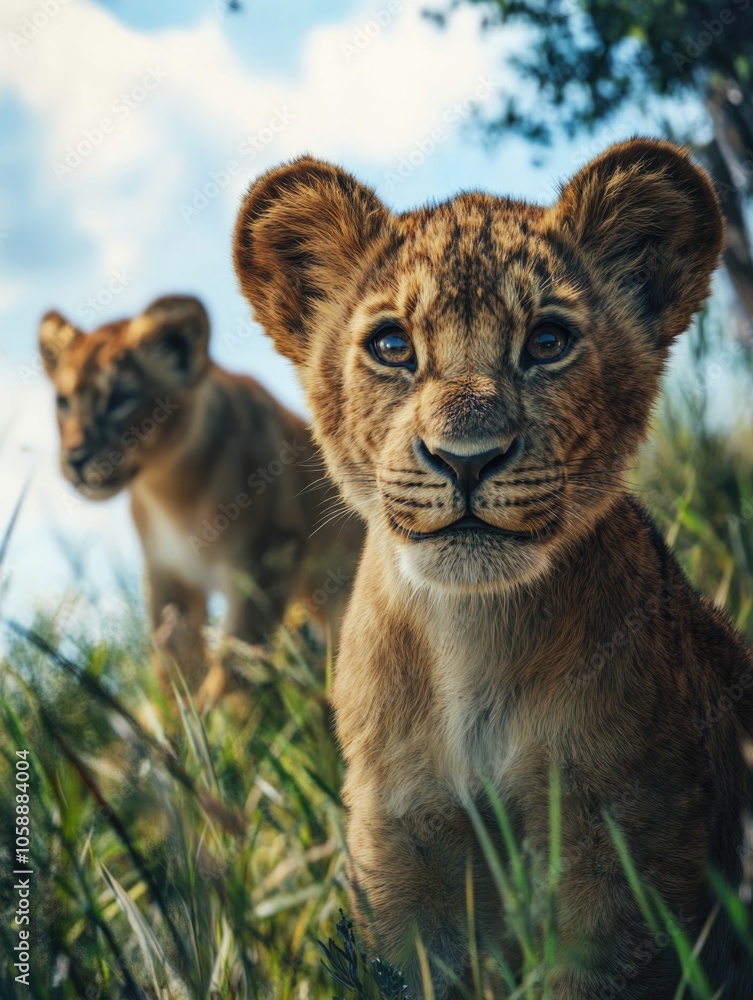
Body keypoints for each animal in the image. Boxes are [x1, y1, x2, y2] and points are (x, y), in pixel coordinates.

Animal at [39, 295, 363, 696]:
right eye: (64, 402)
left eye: (120, 399)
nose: (75, 458)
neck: (172, 489)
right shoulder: (166, 577)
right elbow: (173, 664)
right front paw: (179, 712)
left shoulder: (269, 559)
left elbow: (237, 661)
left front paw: (218, 710)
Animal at [233, 141, 753, 996]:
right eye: (392, 347)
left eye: (546, 342)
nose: (465, 460)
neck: (470, 635)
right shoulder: (400, 857)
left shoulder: (619, 850)